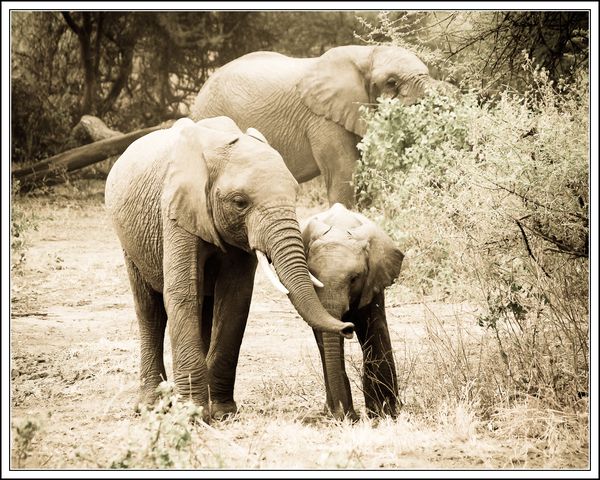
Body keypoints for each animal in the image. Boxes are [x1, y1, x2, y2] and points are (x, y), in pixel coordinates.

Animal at [105, 116, 354, 420]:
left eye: (295, 195)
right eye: (239, 202)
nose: (349, 327)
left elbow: (235, 298)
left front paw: (222, 413)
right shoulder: (175, 210)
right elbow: (182, 292)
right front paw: (194, 414)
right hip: (127, 240)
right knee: (149, 310)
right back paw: (151, 407)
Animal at [302, 202, 406, 420]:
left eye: (354, 278)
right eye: (312, 275)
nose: (347, 327)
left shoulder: (373, 281)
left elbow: (374, 330)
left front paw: (386, 413)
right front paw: (342, 414)